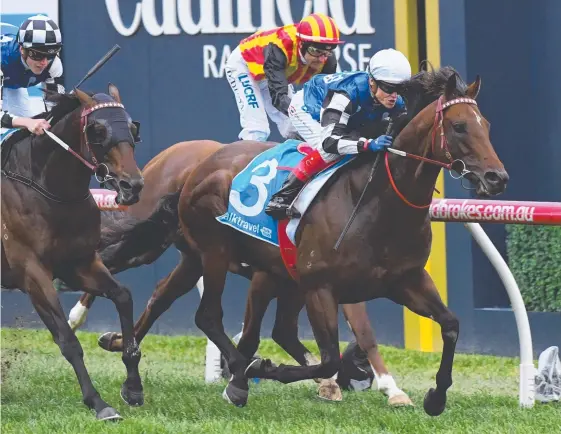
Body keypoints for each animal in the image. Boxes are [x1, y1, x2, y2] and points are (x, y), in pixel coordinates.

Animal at [1, 85, 144, 420]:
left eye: (133, 128)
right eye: (98, 130)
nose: (132, 186)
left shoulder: (79, 263)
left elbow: (123, 296)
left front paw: (133, 387)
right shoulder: (32, 272)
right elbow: (68, 340)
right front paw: (99, 403)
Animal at [68, 141, 412, 406]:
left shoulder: (318, 283)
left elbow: (358, 332)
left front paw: (388, 388)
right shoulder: (271, 278)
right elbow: (254, 335)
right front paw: (243, 377)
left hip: (192, 257)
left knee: (160, 294)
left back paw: (116, 340)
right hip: (168, 243)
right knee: (109, 261)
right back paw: (78, 317)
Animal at [177, 66, 510, 416]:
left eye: (486, 125)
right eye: (459, 126)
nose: (496, 178)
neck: (378, 204)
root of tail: (206, 162)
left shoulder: (407, 280)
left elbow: (450, 325)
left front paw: (436, 397)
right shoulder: (321, 288)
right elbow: (329, 360)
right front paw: (266, 368)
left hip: (278, 273)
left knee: (272, 330)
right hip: (215, 253)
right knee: (209, 316)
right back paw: (241, 375)